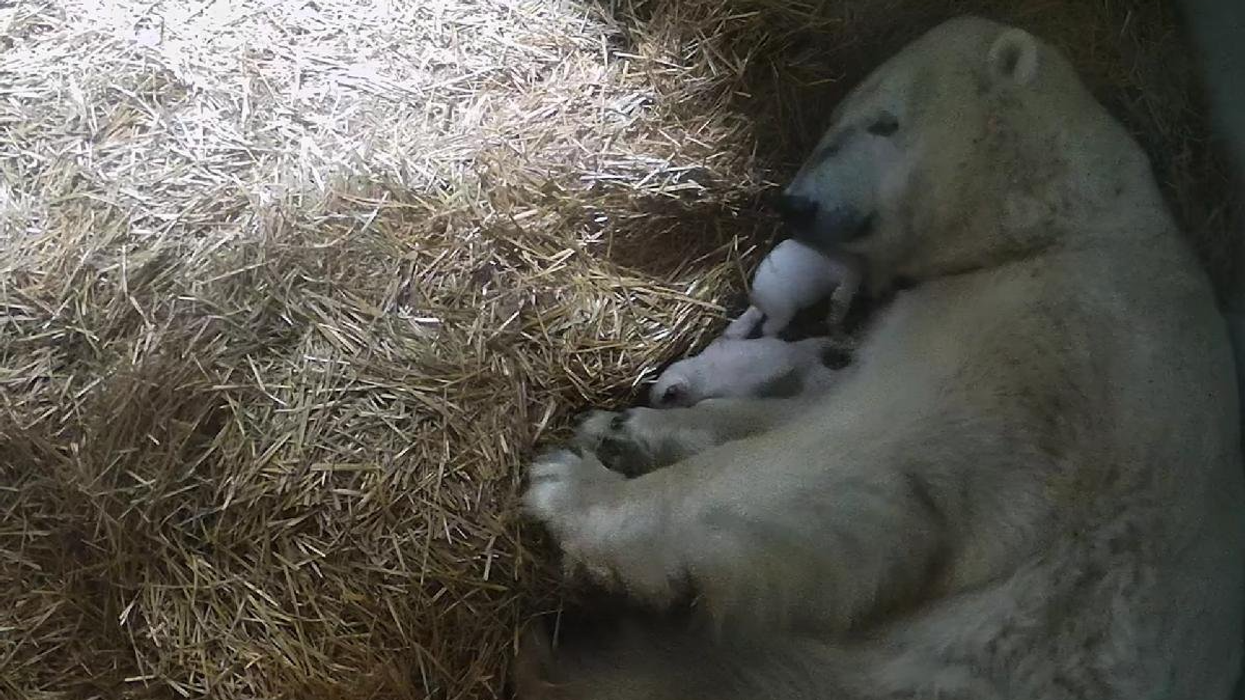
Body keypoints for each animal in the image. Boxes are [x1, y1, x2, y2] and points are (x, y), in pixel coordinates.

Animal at [518, 16, 1245, 700]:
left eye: (884, 122)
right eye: (830, 122)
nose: (794, 202)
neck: (1061, 228)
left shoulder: (1037, 338)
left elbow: (855, 466)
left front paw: (571, 487)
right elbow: (809, 409)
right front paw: (621, 432)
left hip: (936, 668)